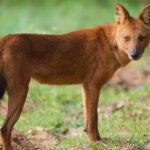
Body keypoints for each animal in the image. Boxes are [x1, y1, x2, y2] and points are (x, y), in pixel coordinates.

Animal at [0, 3, 149, 150]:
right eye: (126, 38)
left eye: (142, 37)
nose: (134, 55)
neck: (110, 43)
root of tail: (5, 39)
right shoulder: (92, 85)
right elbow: (93, 118)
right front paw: (95, 142)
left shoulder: (85, 86)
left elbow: (91, 117)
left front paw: (98, 140)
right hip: (20, 91)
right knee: (5, 128)